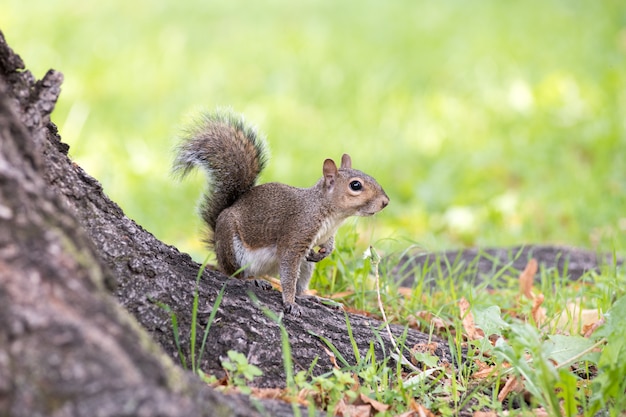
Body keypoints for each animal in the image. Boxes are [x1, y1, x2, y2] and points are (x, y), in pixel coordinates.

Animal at [171, 110, 386, 316]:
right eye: (355, 185)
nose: (385, 202)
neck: (331, 215)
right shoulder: (297, 233)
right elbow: (288, 274)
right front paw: (289, 303)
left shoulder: (324, 235)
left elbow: (327, 247)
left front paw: (324, 253)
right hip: (232, 245)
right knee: (233, 273)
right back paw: (253, 280)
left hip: (305, 266)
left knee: (299, 283)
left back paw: (313, 297)